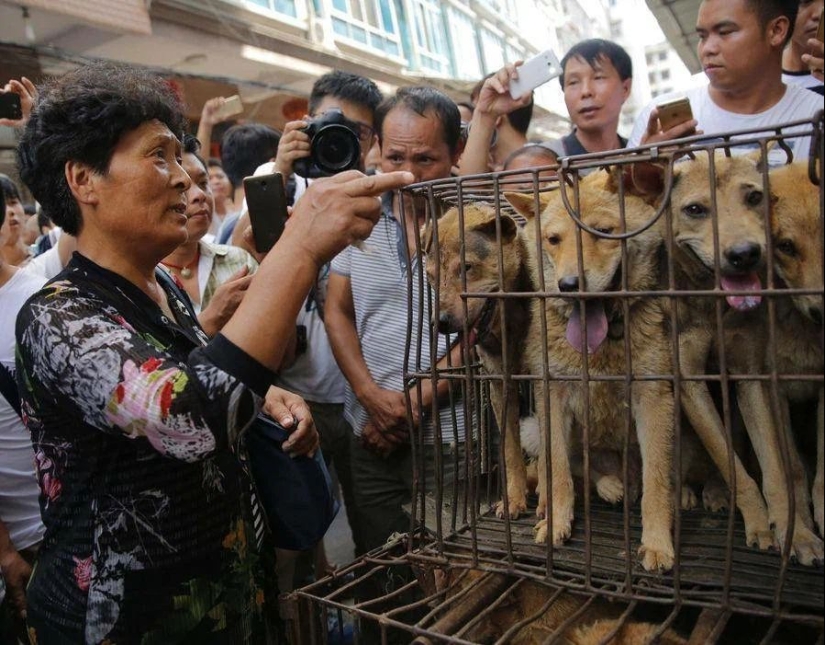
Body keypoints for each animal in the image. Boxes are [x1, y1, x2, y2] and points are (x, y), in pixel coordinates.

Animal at [508, 165, 676, 568]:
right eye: (554, 240)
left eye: (604, 232)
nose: (569, 285)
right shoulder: (552, 396)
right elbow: (559, 474)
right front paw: (557, 523)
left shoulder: (654, 399)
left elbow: (657, 483)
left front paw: (658, 542)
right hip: (534, 428)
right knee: (573, 470)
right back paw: (599, 489)